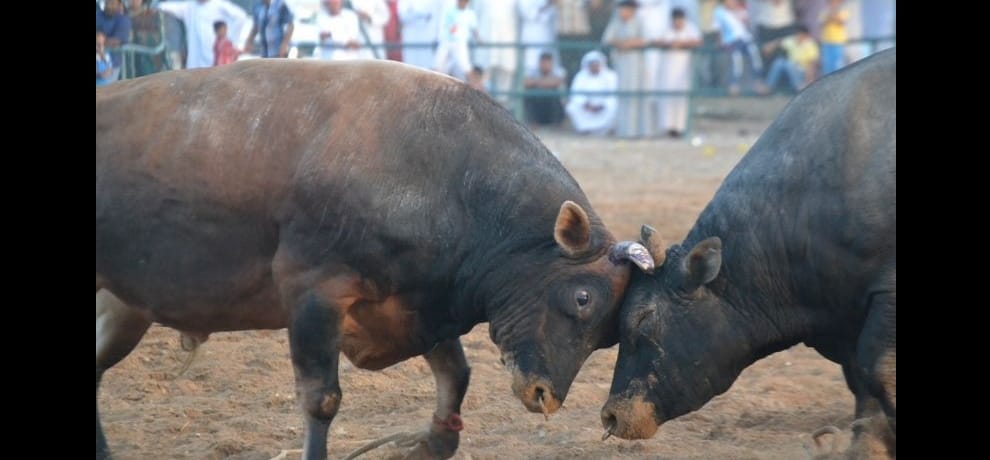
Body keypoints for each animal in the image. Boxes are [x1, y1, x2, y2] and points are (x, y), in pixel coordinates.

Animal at [96, 59, 654, 460]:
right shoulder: (315, 293)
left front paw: (431, 443)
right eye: (582, 298)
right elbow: (321, 400)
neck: (444, 178)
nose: (545, 395)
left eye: (610, 336)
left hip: (124, 308)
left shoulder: (416, 299)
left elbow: (456, 374)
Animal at [599, 48, 895, 458]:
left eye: (642, 320)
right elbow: (862, 382)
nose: (610, 415)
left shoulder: (887, 294)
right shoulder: (844, 317)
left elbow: (877, 369)